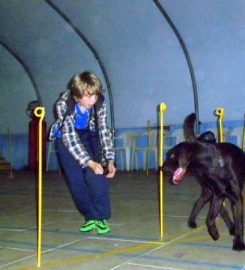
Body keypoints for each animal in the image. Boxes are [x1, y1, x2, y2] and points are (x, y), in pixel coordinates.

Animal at [163, 113, 245, 250]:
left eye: (173, 156)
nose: (161, 168)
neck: (215, 166)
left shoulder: (236, 198)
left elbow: (239, 221)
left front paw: (238, 243)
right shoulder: (218, 195)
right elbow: (210, 218)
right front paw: (215, 233)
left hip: (211, 192)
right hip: (209, 191)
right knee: (201, 203)